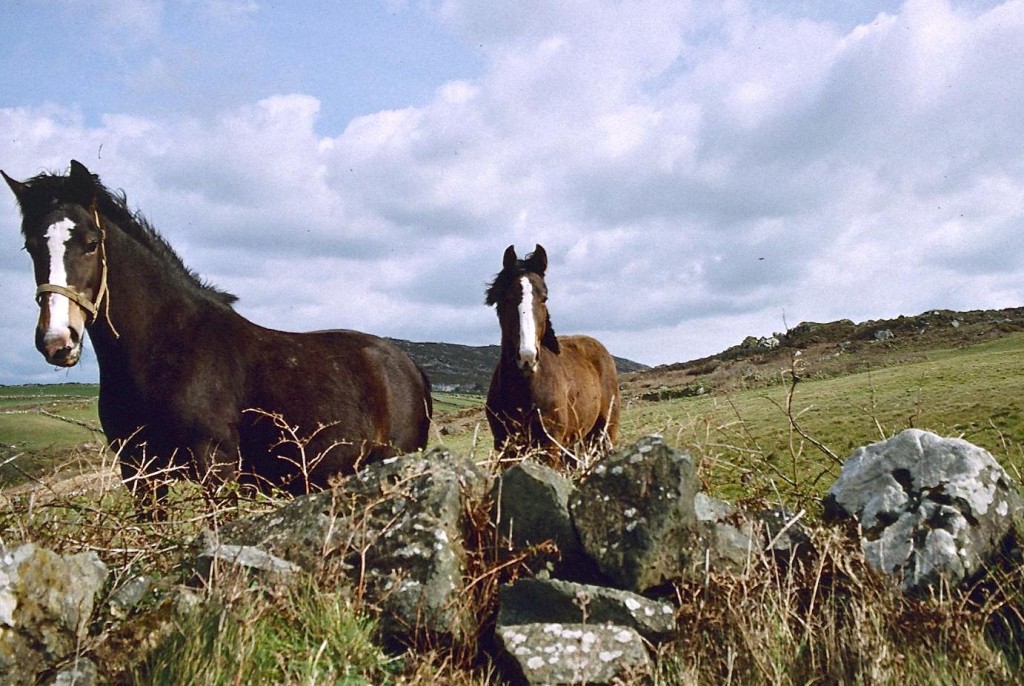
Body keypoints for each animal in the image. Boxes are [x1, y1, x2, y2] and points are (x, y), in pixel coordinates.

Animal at [3, 160, 432, 518]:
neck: (167, 349)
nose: (58, 340)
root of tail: (408, 366)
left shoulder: (217, 470)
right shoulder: (139, 473)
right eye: (31, 247)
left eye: (91, 243)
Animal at [484, 244, 619, 468]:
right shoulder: (506, 447)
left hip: (604, 434)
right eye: (508, 298)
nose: (527, 357)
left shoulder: (549, 446)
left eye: (544, 298)